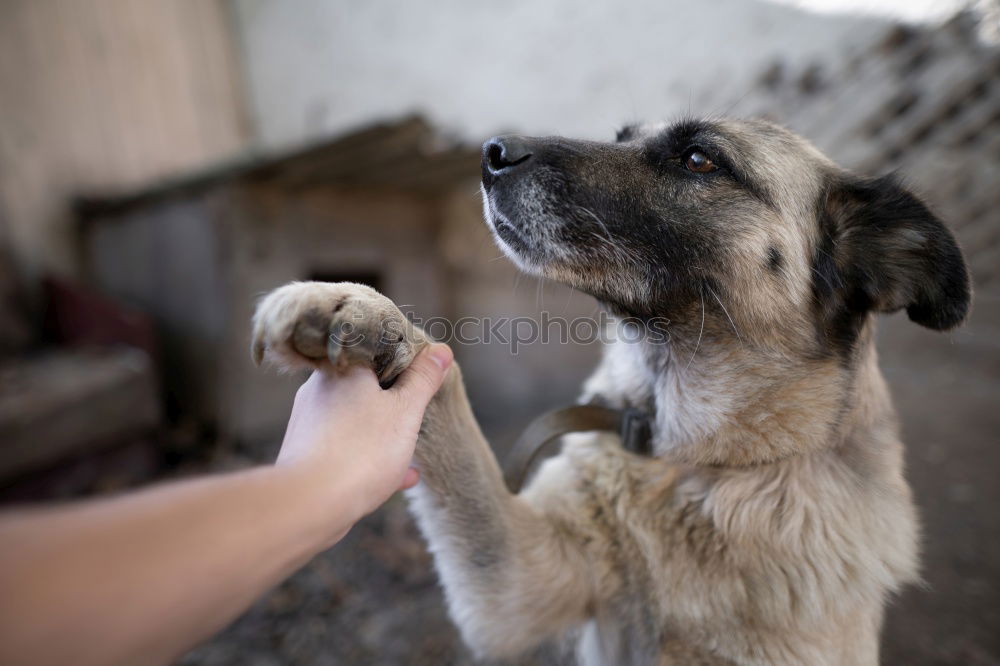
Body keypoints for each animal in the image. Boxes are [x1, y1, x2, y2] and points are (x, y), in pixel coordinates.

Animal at [250, 116, 968, 660]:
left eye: (699, 159)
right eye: (622, 134)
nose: (491, 152)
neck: (683, 458)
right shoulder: (518, 585)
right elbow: (448, 400)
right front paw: (368, 314)